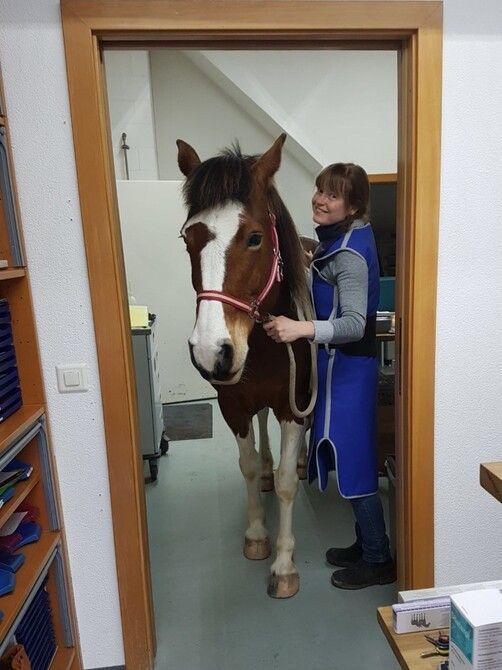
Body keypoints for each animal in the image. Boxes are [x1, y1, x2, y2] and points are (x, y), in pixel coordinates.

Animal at [177, 134, 312, 598]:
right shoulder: (233, 405)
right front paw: (256, 534)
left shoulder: (294, 407)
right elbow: (249, 466)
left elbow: (289, 484)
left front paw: (285, 564)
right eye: (187, 239)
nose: (210, 351)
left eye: (254, 238)